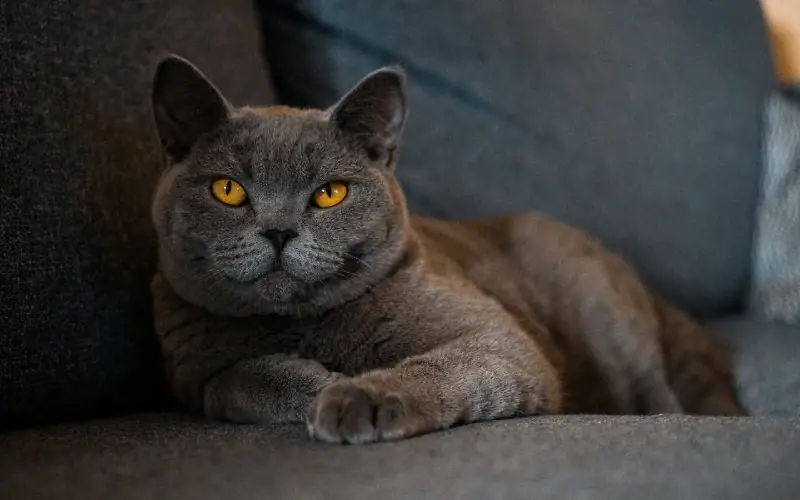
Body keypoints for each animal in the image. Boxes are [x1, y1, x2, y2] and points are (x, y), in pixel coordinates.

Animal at [148, 55, 744, 446]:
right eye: (228, 190)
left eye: (329, 193)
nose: (278, 231)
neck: (301, 325)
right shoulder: (189, 375)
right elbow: (241, 380)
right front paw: (321, 383)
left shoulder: (496, 337)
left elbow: (440, 365)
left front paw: (356, 395)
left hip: (603, 311)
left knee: (658, 393)